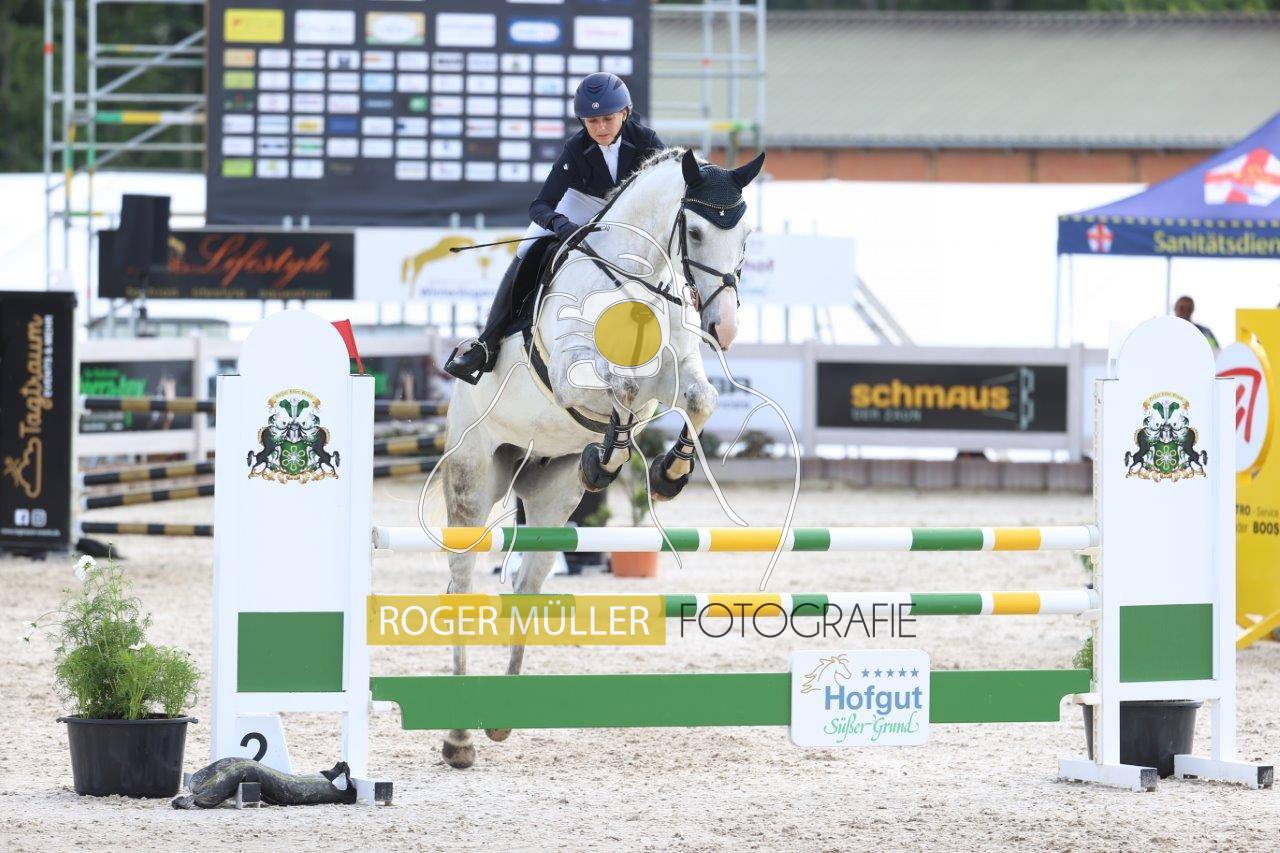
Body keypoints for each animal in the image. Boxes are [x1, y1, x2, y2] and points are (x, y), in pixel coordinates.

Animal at [430, 147, 766, 769]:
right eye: (697, 231)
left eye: (746, 235)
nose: (724, 327)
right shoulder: (571, 374)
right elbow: (620, 387)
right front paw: (610, 458)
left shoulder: (672, 374)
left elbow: (698, 399)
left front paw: (668, 473)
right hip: (473, 473)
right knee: (461, 581)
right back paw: (458, 740)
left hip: (550, 492)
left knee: (527, 581)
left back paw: (497, 721)